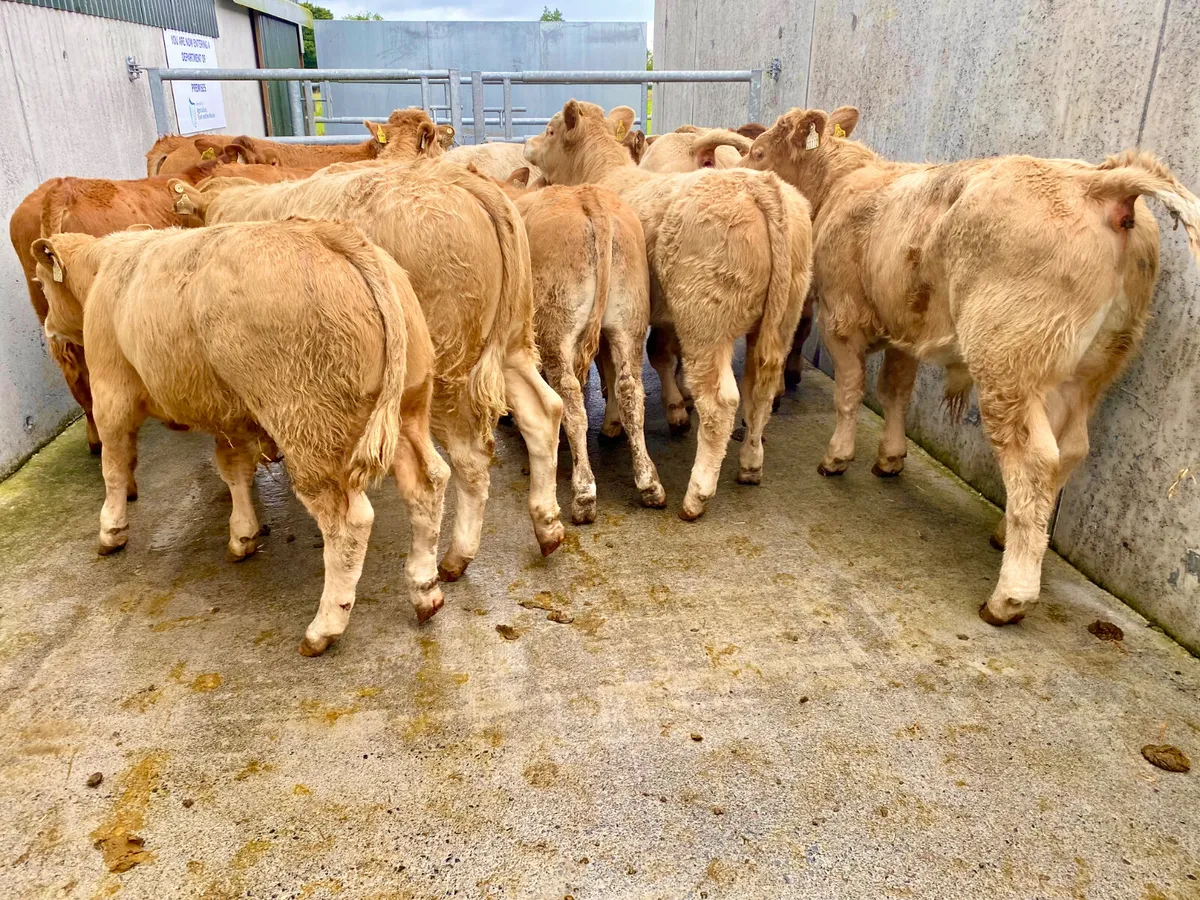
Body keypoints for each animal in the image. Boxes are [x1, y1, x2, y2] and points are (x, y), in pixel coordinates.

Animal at [31, 219, 448, 655]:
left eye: (41, 283)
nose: (48, 330)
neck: (106, 268)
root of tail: (328, 233)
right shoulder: (230, 417)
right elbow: (235, 472)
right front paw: (243, 534)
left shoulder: (111, 391)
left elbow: (114, 466)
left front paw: (111, 531)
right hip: (407, 409)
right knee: (429, 483)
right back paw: (425, 589)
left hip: (309, 429)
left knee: (348, 523)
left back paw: (325, 626)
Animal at [170, 161, 566, 574]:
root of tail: (454, 177)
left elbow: (233, 460)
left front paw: (241, 531)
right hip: (512, 342)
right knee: (543, 412)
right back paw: (548, 526)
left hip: (444, 371)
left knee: (469, 459)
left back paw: (457, 555)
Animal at [494, 166, 666, 522]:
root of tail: (590, 198)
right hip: (628, 321)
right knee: (630, 391)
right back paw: (650, 485)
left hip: (555, 330)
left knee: (570, 402)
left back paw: (584, 494)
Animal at [525, 101, 813, 520]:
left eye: (548, 131)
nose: (526, 146)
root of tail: (759, 186)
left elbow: (612, 371)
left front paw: (614, 423)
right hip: (782, 316)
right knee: (761, 385)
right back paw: (750, 463)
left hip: (704, 320)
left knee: (721, 401)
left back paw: (696, 495)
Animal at [741, 105, 1200, 626]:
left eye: (760, 152)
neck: (845, 181)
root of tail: (1100, 182)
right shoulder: (906, 327)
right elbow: (894, 390)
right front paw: (890, 457)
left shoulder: (843, 316)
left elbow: (850, 392)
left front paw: (837, 457)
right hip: (1090, 371)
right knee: (1071, 450)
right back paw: (1012, 535)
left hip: (1009, 363)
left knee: (1035, 461)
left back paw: (1010, 596)